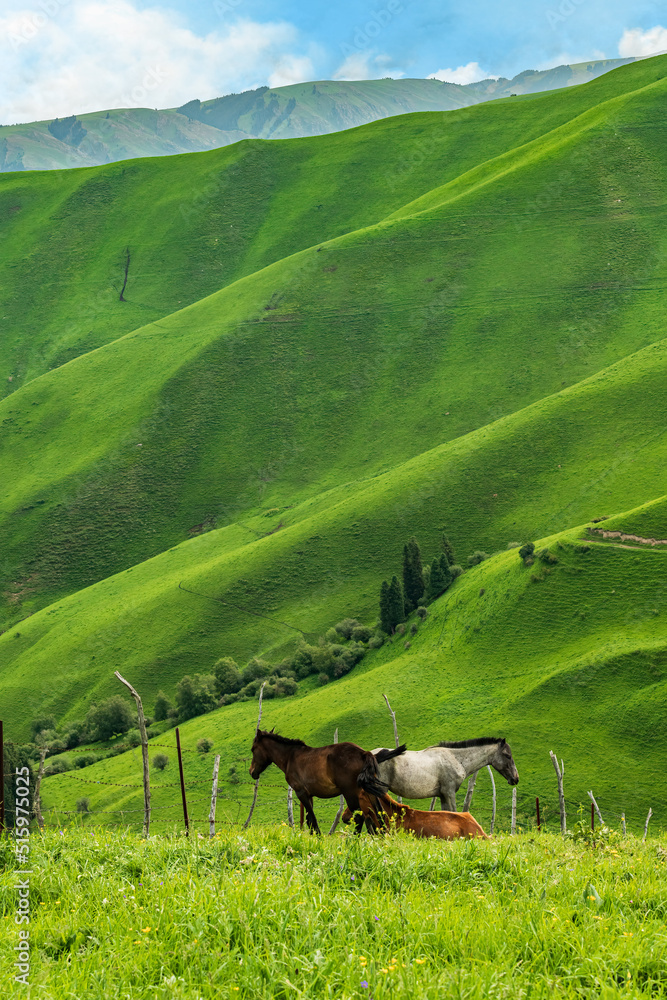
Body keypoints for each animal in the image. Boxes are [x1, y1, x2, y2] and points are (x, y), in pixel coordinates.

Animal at [249, 732, 408, 832]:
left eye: (253, 749)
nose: (252, 772)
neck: (290, 757)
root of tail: (364, 753)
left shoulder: (301, 793)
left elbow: (312, 819)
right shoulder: (310, 795)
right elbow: (309, 819)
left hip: (351, 794)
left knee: (359, 816)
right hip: (368, 792)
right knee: (378, 813)